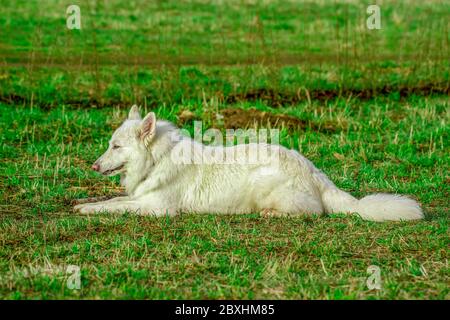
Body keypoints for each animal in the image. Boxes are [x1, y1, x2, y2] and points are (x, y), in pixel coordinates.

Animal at [73, 106, 422, 221]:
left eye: (116, 146)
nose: (93, 167)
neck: (157, 159)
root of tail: (314, 171)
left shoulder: (156, 208)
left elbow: (113, 207)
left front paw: (87, 209)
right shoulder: (139, 197)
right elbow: (112, 201)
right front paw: (84, 203)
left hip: (264, 186)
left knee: (313, 212)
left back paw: (272, 214)